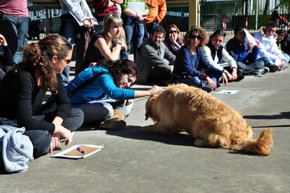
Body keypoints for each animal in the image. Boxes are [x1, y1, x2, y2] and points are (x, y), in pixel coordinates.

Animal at [144, 83, 274, 156]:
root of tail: (239, 135)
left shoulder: (168, 122)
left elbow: (158, 126)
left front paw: (146, 128)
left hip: (198, 123)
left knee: (217, 141)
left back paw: (198, 141)